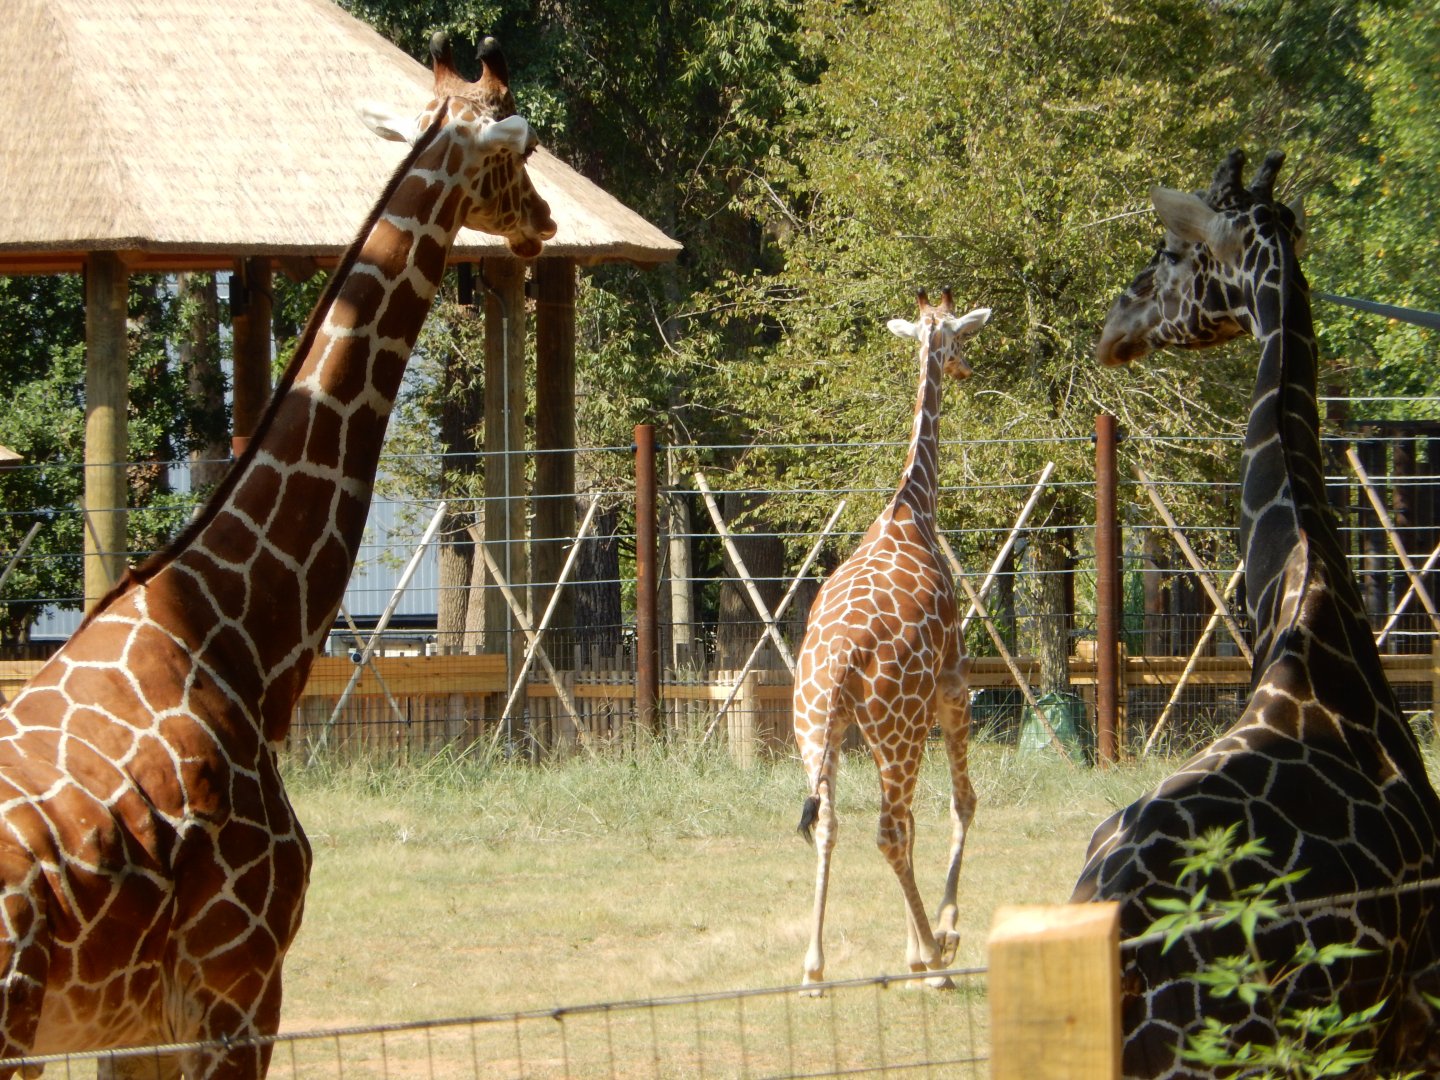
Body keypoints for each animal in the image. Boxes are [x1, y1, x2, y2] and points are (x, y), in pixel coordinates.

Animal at [793, 289, 990, 990]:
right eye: (960, 337)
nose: (963, 368)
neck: (913, 505)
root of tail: (842, 661)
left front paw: (918, 945)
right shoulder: (952, 687)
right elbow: (962, 802)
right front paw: (943, 936)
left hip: (816, 726)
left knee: (830, 823)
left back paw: (814, 968)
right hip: (896, 725)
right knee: (888, 829)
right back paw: (936, 959)